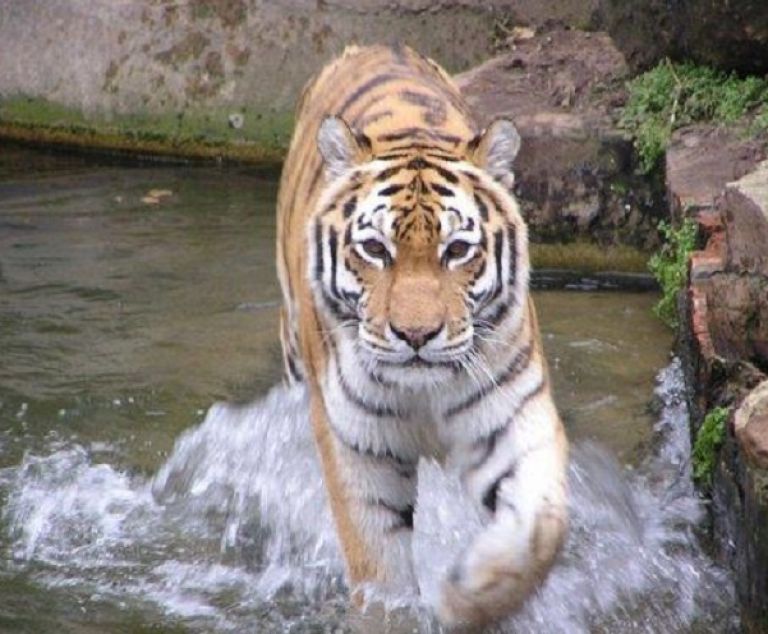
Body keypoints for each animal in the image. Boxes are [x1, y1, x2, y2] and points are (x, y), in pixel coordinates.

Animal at [272, 43, 568, 628]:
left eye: (456, 250)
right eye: (374, 249)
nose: (415, 334)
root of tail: (371, 45)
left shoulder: (509, 415)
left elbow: (541, 524)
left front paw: (469, 593)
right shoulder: (358, 444)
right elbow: (381, 572)